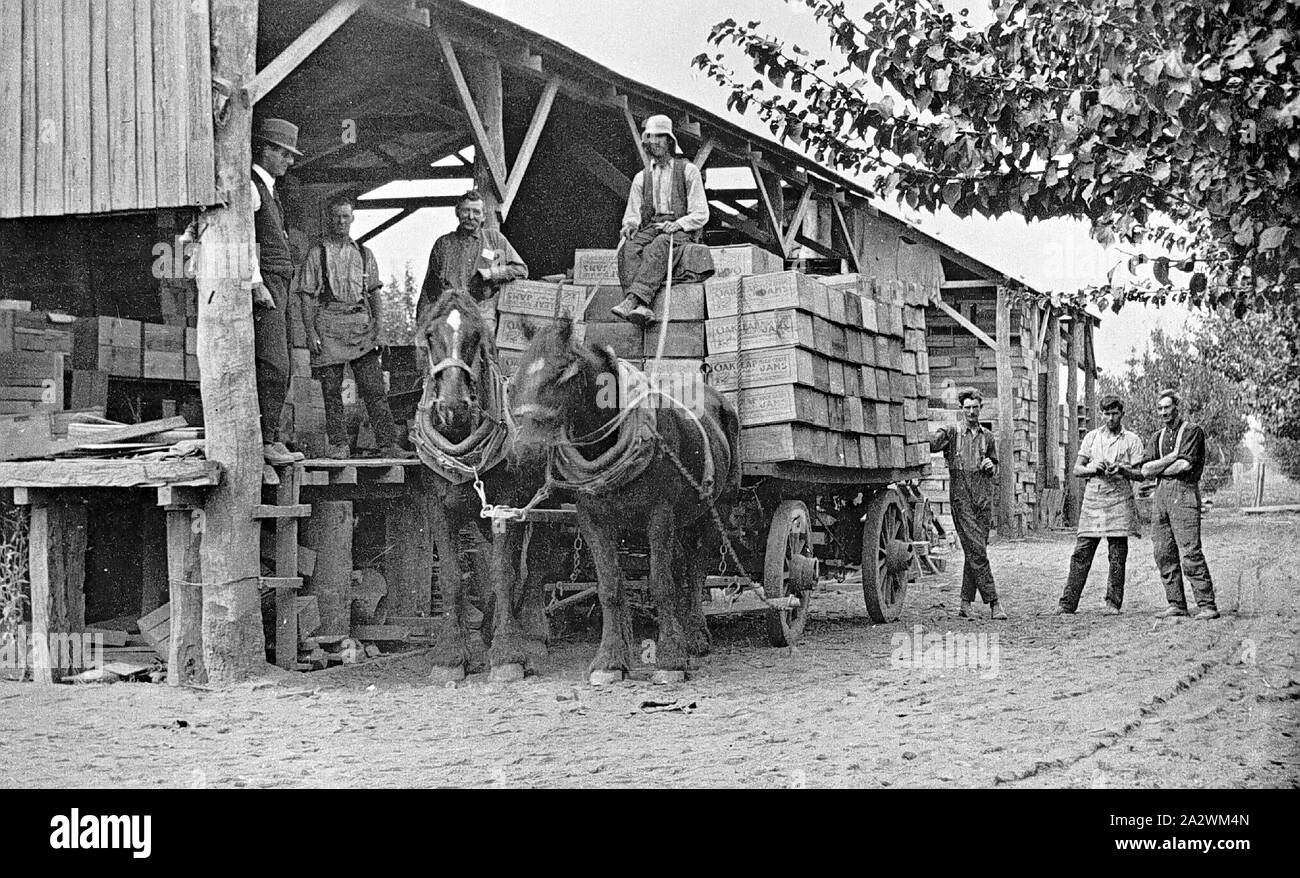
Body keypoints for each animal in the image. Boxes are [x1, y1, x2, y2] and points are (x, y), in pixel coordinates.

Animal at [416, 291, 559, 681]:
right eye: (430, 336)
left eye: (476, 336)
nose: (453, 406)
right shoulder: (437, 506)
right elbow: (455, 577)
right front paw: (451, 656)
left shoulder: (507, 505)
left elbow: (503, 572)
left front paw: (508, 653)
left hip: (546, 502)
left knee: (537, 562)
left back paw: (534, 639)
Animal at [504, 319, 738, 681]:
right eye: (516, 378)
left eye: (562, 373)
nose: (523, 453)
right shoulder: (593, 518)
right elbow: (611, 587)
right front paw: (611, 660)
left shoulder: (660, 514)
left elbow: (661, 583)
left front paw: (671, 659)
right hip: (684, 520)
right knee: (683, 567)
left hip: (716, 511)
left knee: (697, 569)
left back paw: (695, 635)